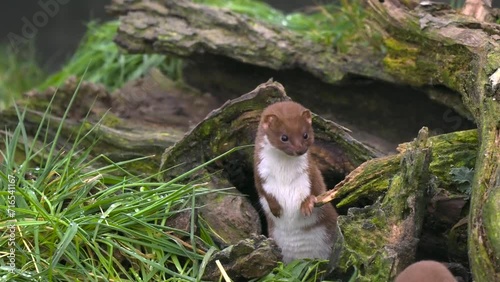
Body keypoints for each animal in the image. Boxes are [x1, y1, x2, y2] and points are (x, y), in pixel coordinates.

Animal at [252, 101, 338, 262]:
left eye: (305, 135)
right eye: (284, 137)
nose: (300, 150)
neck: (284, 174)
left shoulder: (309, 173)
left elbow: (313, 189)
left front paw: (307, 205)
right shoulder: (261, 174)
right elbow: (264, 192)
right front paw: (275, 208)